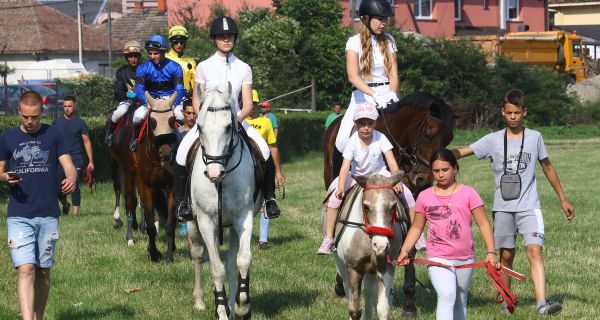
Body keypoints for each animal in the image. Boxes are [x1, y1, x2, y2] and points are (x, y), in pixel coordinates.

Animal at [189, 85, 262, 320]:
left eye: (229, 127)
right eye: (199, 127)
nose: (214, 173)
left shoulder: (243, 217)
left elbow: (242, 259)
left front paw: (241, 306)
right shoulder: (206, 222)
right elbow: (216, 268)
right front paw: (220, 311)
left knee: (230, 259)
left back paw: (232, 303)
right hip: (193, 223)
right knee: (198, 255)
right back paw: (200, 301)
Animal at [332, 172, 408, 320]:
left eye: (393, 206)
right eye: (366, 207)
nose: (380, 246)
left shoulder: (386, 267)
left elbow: (383, 309)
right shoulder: (353, 268)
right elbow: (355, 310)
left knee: (369, 293)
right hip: (341, 265)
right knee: (348, 290)